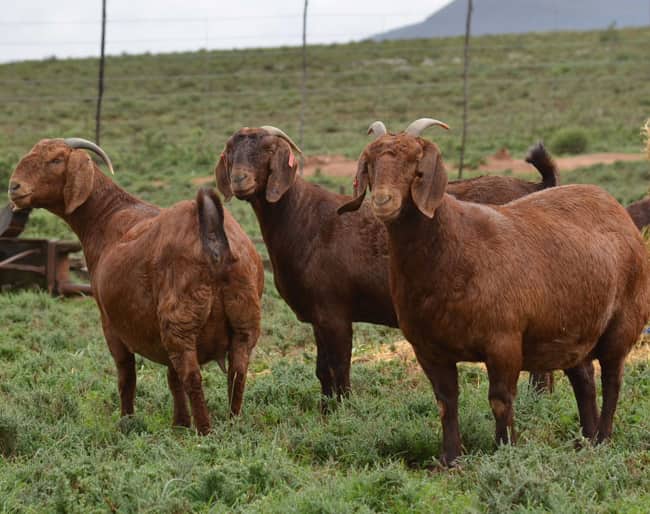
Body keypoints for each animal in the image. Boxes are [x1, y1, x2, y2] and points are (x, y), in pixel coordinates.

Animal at [8, 138, 264, 433]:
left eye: (56, 160)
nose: (14, 187)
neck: (107, 217)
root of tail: (212, 235)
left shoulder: (110, 323)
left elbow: (126, 374)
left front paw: (127, 421)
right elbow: (171, 378)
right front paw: (179, 424)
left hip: (181, 321)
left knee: (192, 376)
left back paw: (204, 431)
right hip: (243, 320)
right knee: (237, 372)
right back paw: (233, 424)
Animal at [214, 125, 559, 405]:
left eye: (267, 150)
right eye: (231, 151)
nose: (240, 180)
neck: (303, 217)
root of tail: (535, 186)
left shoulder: (334, 312)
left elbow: (338, 367)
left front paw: (343, 411)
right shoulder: (317, 316)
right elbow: (322, 370)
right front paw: (326, 410)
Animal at [338, 118, 650, 465]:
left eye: (416, 166)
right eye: (371, 163)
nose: (383, 201)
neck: (454, 248)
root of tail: (617, 211)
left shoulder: (503, 342)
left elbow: (500, 400)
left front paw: (505, 450)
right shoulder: (428, 349)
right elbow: (446, 402)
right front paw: (450, 459)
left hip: (622, 325)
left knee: (612, 380)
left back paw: (603, 438)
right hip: (573, 332)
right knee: (583, 380)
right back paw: (587, 439)